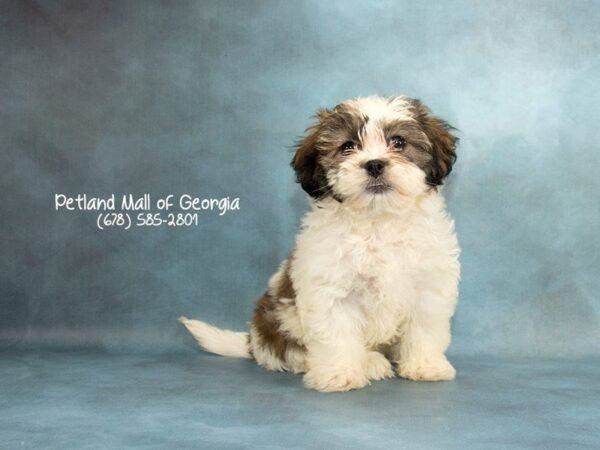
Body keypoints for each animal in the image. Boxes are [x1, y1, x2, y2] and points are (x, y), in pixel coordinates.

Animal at [180, 96, 462, 392]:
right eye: (348, 146)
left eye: (398, 142)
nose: (374, 164)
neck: (377, 221)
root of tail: (255, 342)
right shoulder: (331, 287)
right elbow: (337, 332)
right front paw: (340, 373)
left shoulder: (429, 287)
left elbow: (424, 329)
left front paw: (425, 366)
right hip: (282, 325)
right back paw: (370, 361)